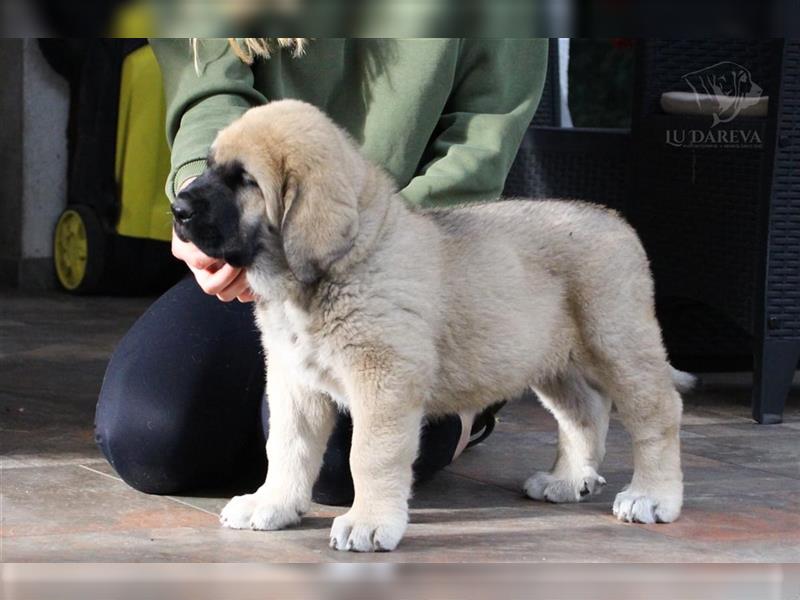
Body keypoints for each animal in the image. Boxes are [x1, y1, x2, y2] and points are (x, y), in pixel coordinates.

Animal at [173, 99, 688, 552]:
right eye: (211, 167)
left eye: (245, 181)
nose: (178, 209)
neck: (339, 268)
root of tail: (616, 220)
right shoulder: (294, 380)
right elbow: (286, 446)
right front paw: (272, 504)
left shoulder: (383, 381)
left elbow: (369, 456)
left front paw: (369, 522)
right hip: (550, 361)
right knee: (585, 412)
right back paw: (569, 480)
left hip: (617, 344)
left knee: (659, 413)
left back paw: (652, 495)